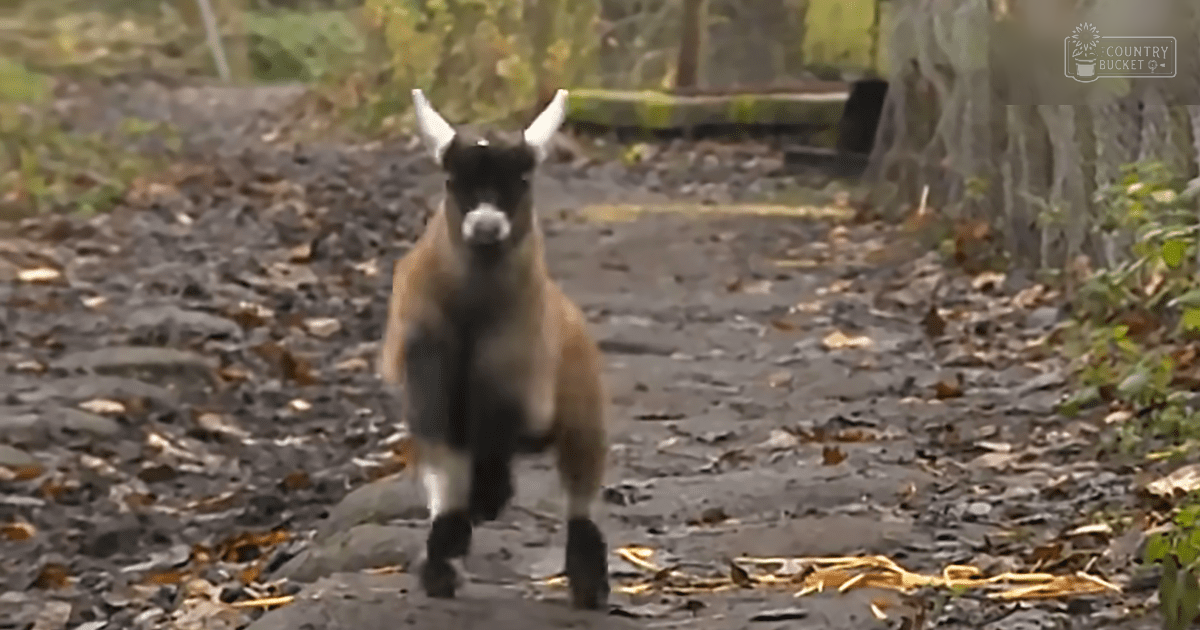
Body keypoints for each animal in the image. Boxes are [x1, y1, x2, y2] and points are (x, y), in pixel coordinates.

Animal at [378, 88, 610, 610]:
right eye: (451, 180)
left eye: (522, 179)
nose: (485, 227)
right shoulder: (426, 372)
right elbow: (447, 457)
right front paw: (450, 544)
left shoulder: (517, 380)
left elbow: (495, 432)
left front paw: (490, 497)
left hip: (582, 415)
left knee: (580, 494)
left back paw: (589, 583)